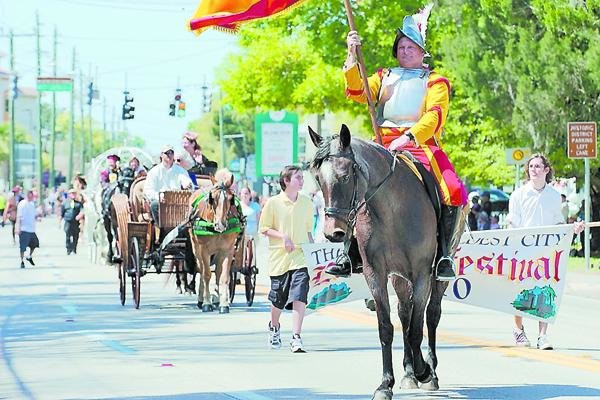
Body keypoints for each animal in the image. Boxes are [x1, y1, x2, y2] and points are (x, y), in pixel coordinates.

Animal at [189, 173, 243, 314]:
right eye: (212, 198)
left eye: (231, 199)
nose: (220, 225)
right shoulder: (204, 250)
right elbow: (207, 275)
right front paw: (207, 303)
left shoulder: (227, 250)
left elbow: (223, 277)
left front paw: (224, 304)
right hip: (196, 250)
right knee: (201, 271)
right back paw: (201, 300)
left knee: (217, 274)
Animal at [310, 123, 446, 398]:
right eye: (319, 179)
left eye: (345, 177)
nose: (332, 233)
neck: (392, 209)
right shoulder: (377, 273)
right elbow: (387, 326)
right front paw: (386, 384)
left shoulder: (422, 274)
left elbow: (418, 327)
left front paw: (424, 370)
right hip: (399, 278)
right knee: (404, 313)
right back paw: (409, 372)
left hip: (436, 276)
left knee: (431, 315)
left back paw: (430, 370)